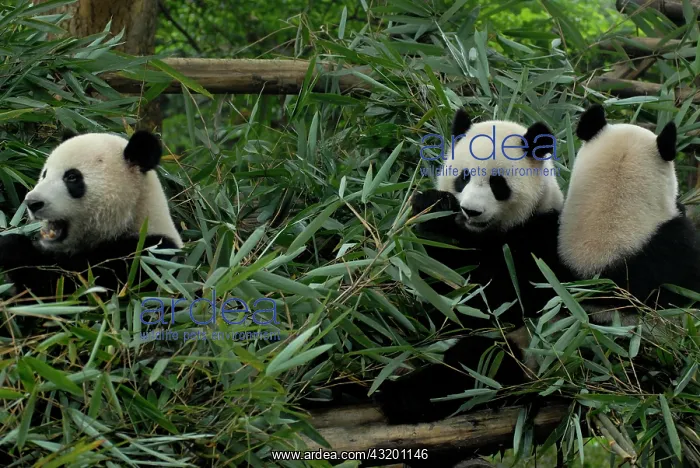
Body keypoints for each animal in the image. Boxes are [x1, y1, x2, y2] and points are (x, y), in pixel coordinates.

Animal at [0, 130, 183, 303]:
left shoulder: (146, 260)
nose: (32, 202)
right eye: (45, 174)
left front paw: (13, 247)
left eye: (72, 177)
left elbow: (70, 290)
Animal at [376, 109, 573, 431]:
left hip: (531, 352)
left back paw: (397, 396)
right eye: (463, 178)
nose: (470, 211)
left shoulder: (540, 245)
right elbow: (435, 299)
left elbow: (489, 301)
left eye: (498, 184)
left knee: (472, 366)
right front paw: (431, 207)